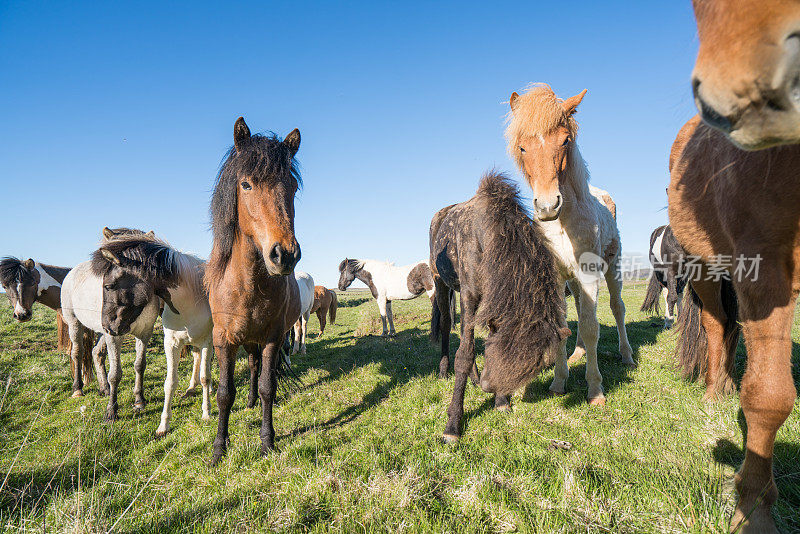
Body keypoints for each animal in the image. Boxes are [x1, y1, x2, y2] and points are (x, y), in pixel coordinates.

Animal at [206, 116, 304, 464]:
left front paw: (267, 441)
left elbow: (267, 386)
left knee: (260, 370)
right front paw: (219, 448)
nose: (285, 255)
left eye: (293, 187)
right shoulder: (223, 340)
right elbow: (224, 393)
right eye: (246, 185)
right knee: (250, 367)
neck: (248, 285)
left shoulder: (273, 336)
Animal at [432, 173, 568, 444]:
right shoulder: (470, 294)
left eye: (531, 369)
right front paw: (453, 425)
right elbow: (464, 355)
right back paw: (444, 370)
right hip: (440, 281)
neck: (486, 235)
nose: (489, 387)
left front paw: (502, 401)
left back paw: (474, 379)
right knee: (446, 324)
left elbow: (472, 344)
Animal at [668, 114, 800, 534]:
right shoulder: (765, 271)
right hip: (704, 266)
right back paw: (715, 391)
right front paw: (754, 510)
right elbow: (769, 395)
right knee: (716, 324)